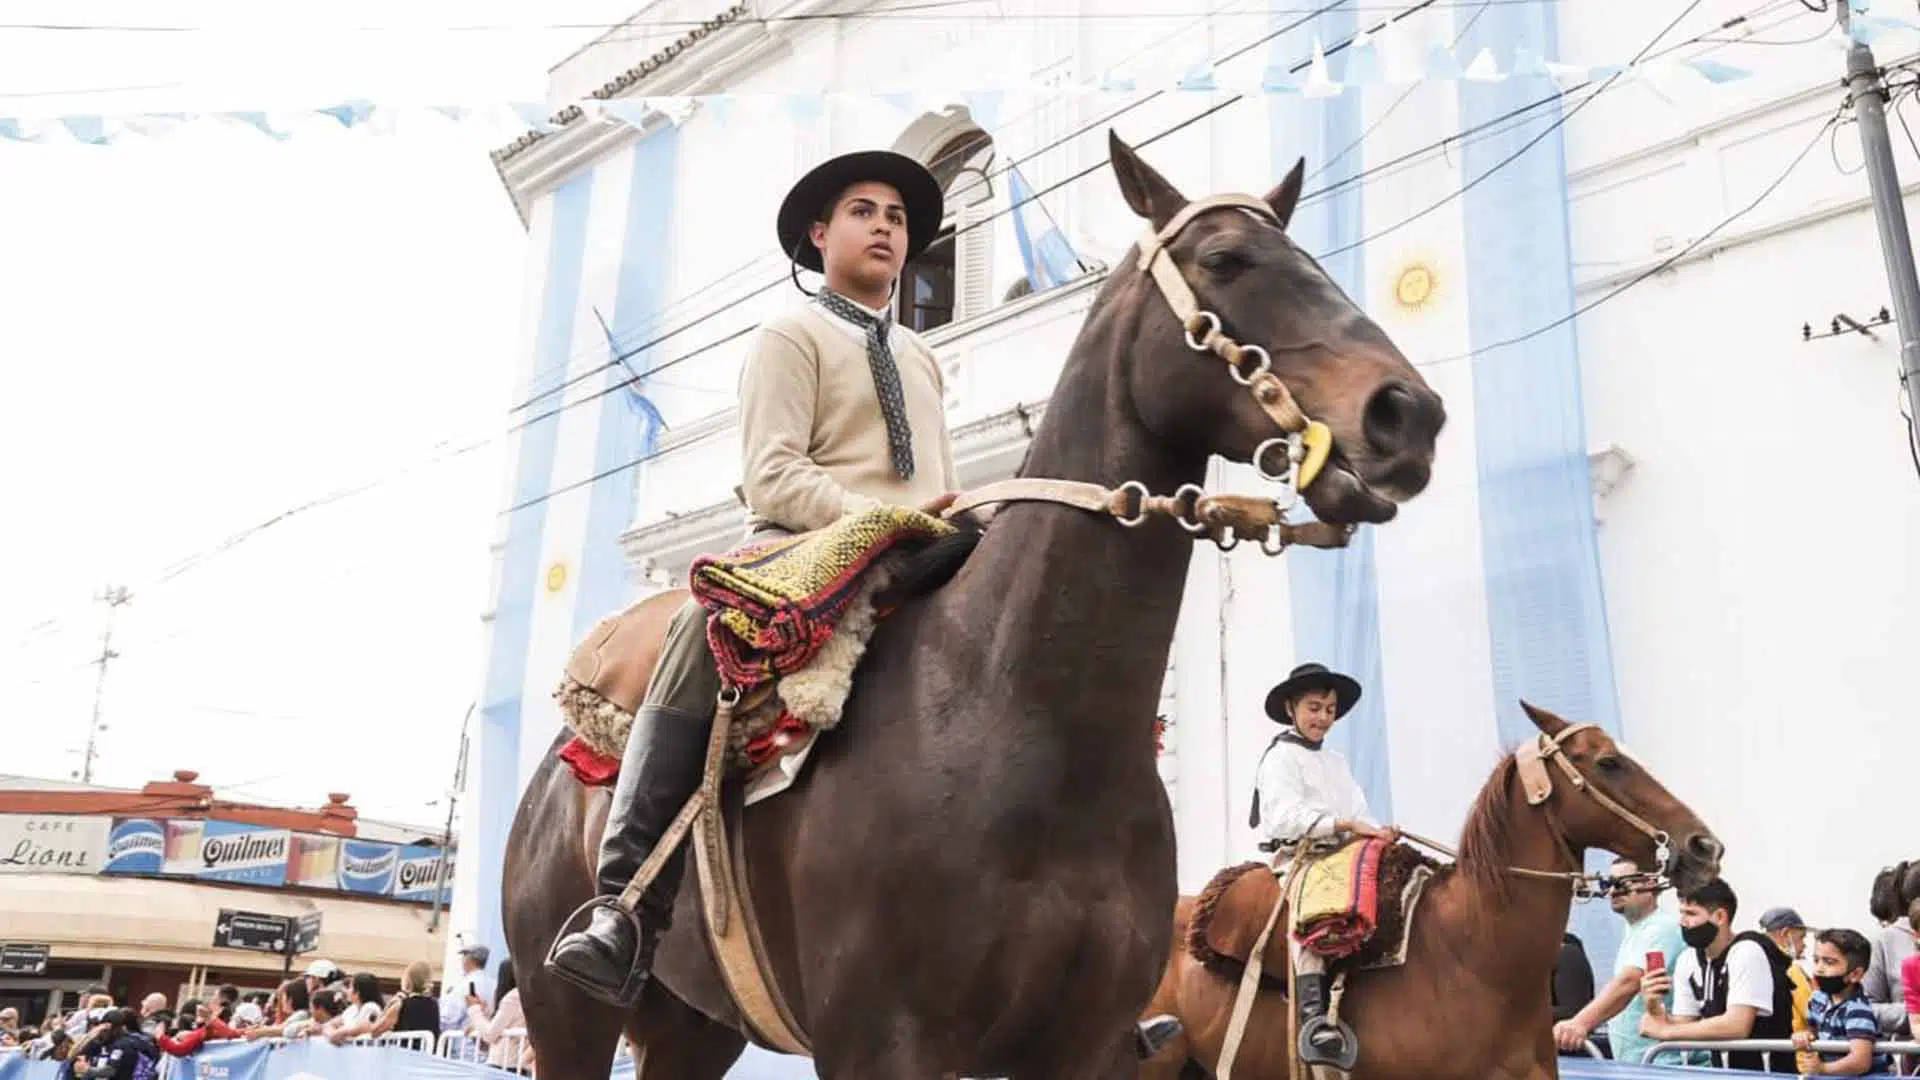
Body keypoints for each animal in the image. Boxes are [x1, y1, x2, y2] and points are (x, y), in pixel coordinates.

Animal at [503, 132, 1443, 1076]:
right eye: (1224, 260)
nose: (1409, 415)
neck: (1022, 714)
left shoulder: (1084, 1047)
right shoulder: (882, 1043)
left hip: (693, 1024)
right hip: (564, 1012)